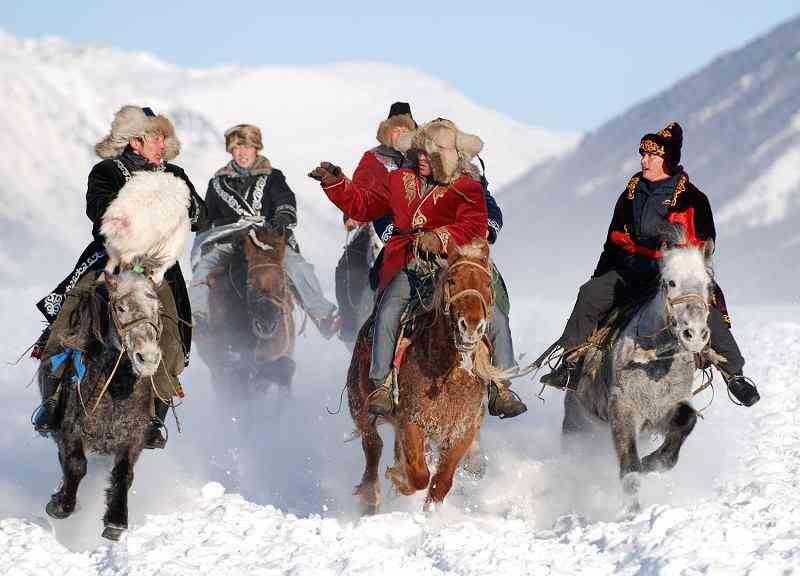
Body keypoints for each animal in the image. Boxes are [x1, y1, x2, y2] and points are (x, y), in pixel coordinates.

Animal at [346, 238, 504, 512]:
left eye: (486, 283)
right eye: (452, 281)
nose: (472, 326)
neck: (448, 375)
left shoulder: (463, 430)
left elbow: (441, 482)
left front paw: (430, 513)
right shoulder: (411, 422)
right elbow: (419, 474)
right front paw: (399, 480)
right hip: (361, 408)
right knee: (373, 445)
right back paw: (371, 495)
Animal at [564, 238, 720, 512]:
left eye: (707, 284)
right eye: (670, 282)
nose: (695, 334)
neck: (654, 364)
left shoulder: (665, 410)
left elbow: (686, 421)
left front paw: (652, 463)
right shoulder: (623, 410)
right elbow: (629, 467)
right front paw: (633, 510)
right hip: (576, 423)